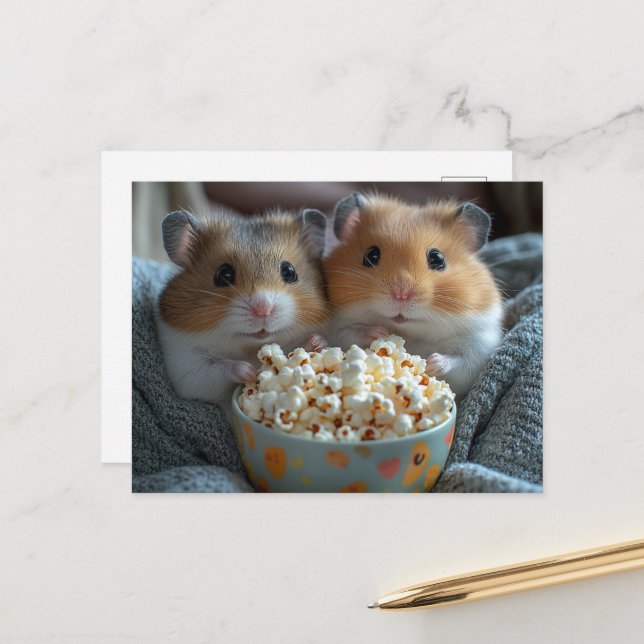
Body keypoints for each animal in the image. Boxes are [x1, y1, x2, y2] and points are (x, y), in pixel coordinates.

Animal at [156, 208, 329, 405]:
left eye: (289, 272)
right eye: (223, 275)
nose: (263, 309)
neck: (250, 346)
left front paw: (317, 342)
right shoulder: (186, 368)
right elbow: (218, 369)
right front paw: (250, 371)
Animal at [323, 192, 503, 397]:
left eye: (437, 259)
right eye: (371, 256)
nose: (401, 294)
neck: (411, 333)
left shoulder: (479, 348)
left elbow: (460, 363)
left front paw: (432, 363)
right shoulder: (335, 329)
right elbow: (350, 334)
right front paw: (379, 333)